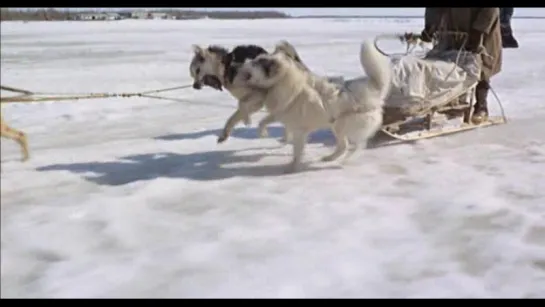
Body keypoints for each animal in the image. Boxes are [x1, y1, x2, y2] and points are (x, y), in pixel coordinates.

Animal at [230, 40, 392, 173]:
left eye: (258, 63)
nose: (239, 65)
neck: (284, 83)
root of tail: (373, 89)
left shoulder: (299, 131)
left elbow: (297, 152)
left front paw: (292, 168)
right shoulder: (282, 114)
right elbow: (264, 122)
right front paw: (264, 132)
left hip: (347, 125)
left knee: (359, 144)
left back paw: (347, 159)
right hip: (336, 126)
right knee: (343, 146)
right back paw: (330, 158)